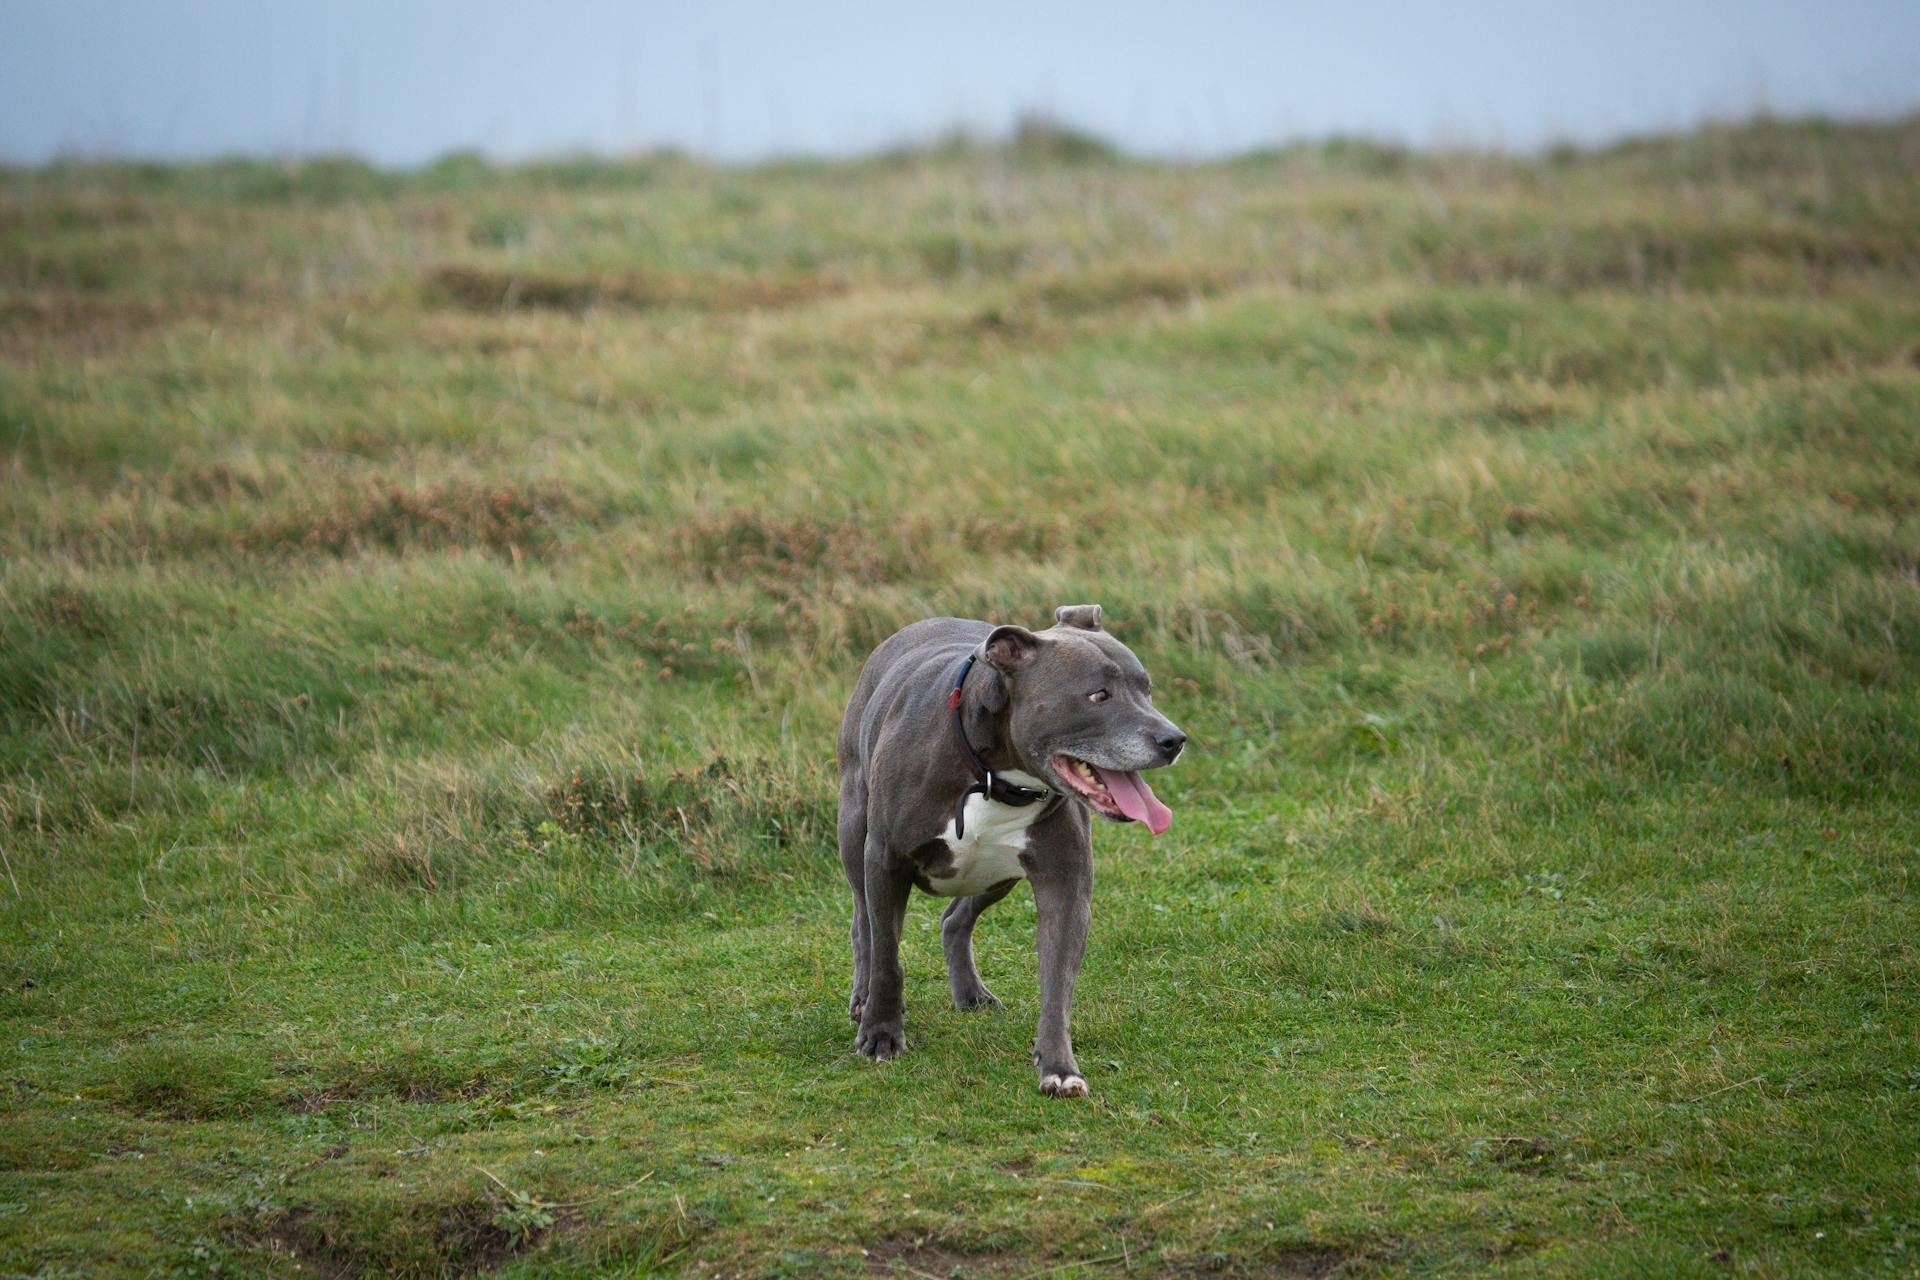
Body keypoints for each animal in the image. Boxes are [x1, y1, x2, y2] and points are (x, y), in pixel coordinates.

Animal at [837, 606, 1182, 1097]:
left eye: (1146, 689)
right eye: (1098, 695)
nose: (1175, 740)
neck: (993, 775)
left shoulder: (1065, 885)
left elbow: (1057, 982)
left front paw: (1059, 1066)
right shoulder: (886, 862)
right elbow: (887, 955)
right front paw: (881, 1032)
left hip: (996, 875)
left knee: (955, 920)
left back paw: (971, 993)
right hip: (855, 838)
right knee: (862, 924)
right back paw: (863, 998)